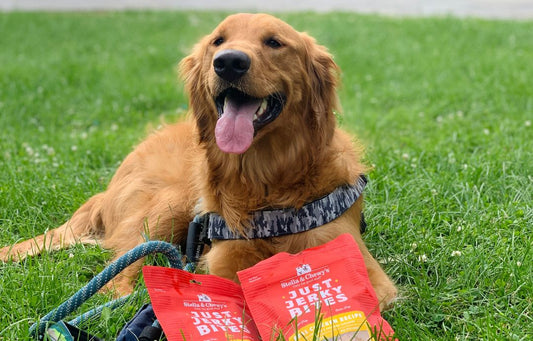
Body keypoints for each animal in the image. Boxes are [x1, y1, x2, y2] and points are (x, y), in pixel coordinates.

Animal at [0, 13, 396, 308]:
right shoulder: (222, 262)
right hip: (171, 204)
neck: (266, 184)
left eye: (274, 42)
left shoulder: (359, 264)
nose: (229, 62)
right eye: (218, 41)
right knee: (117, 274)